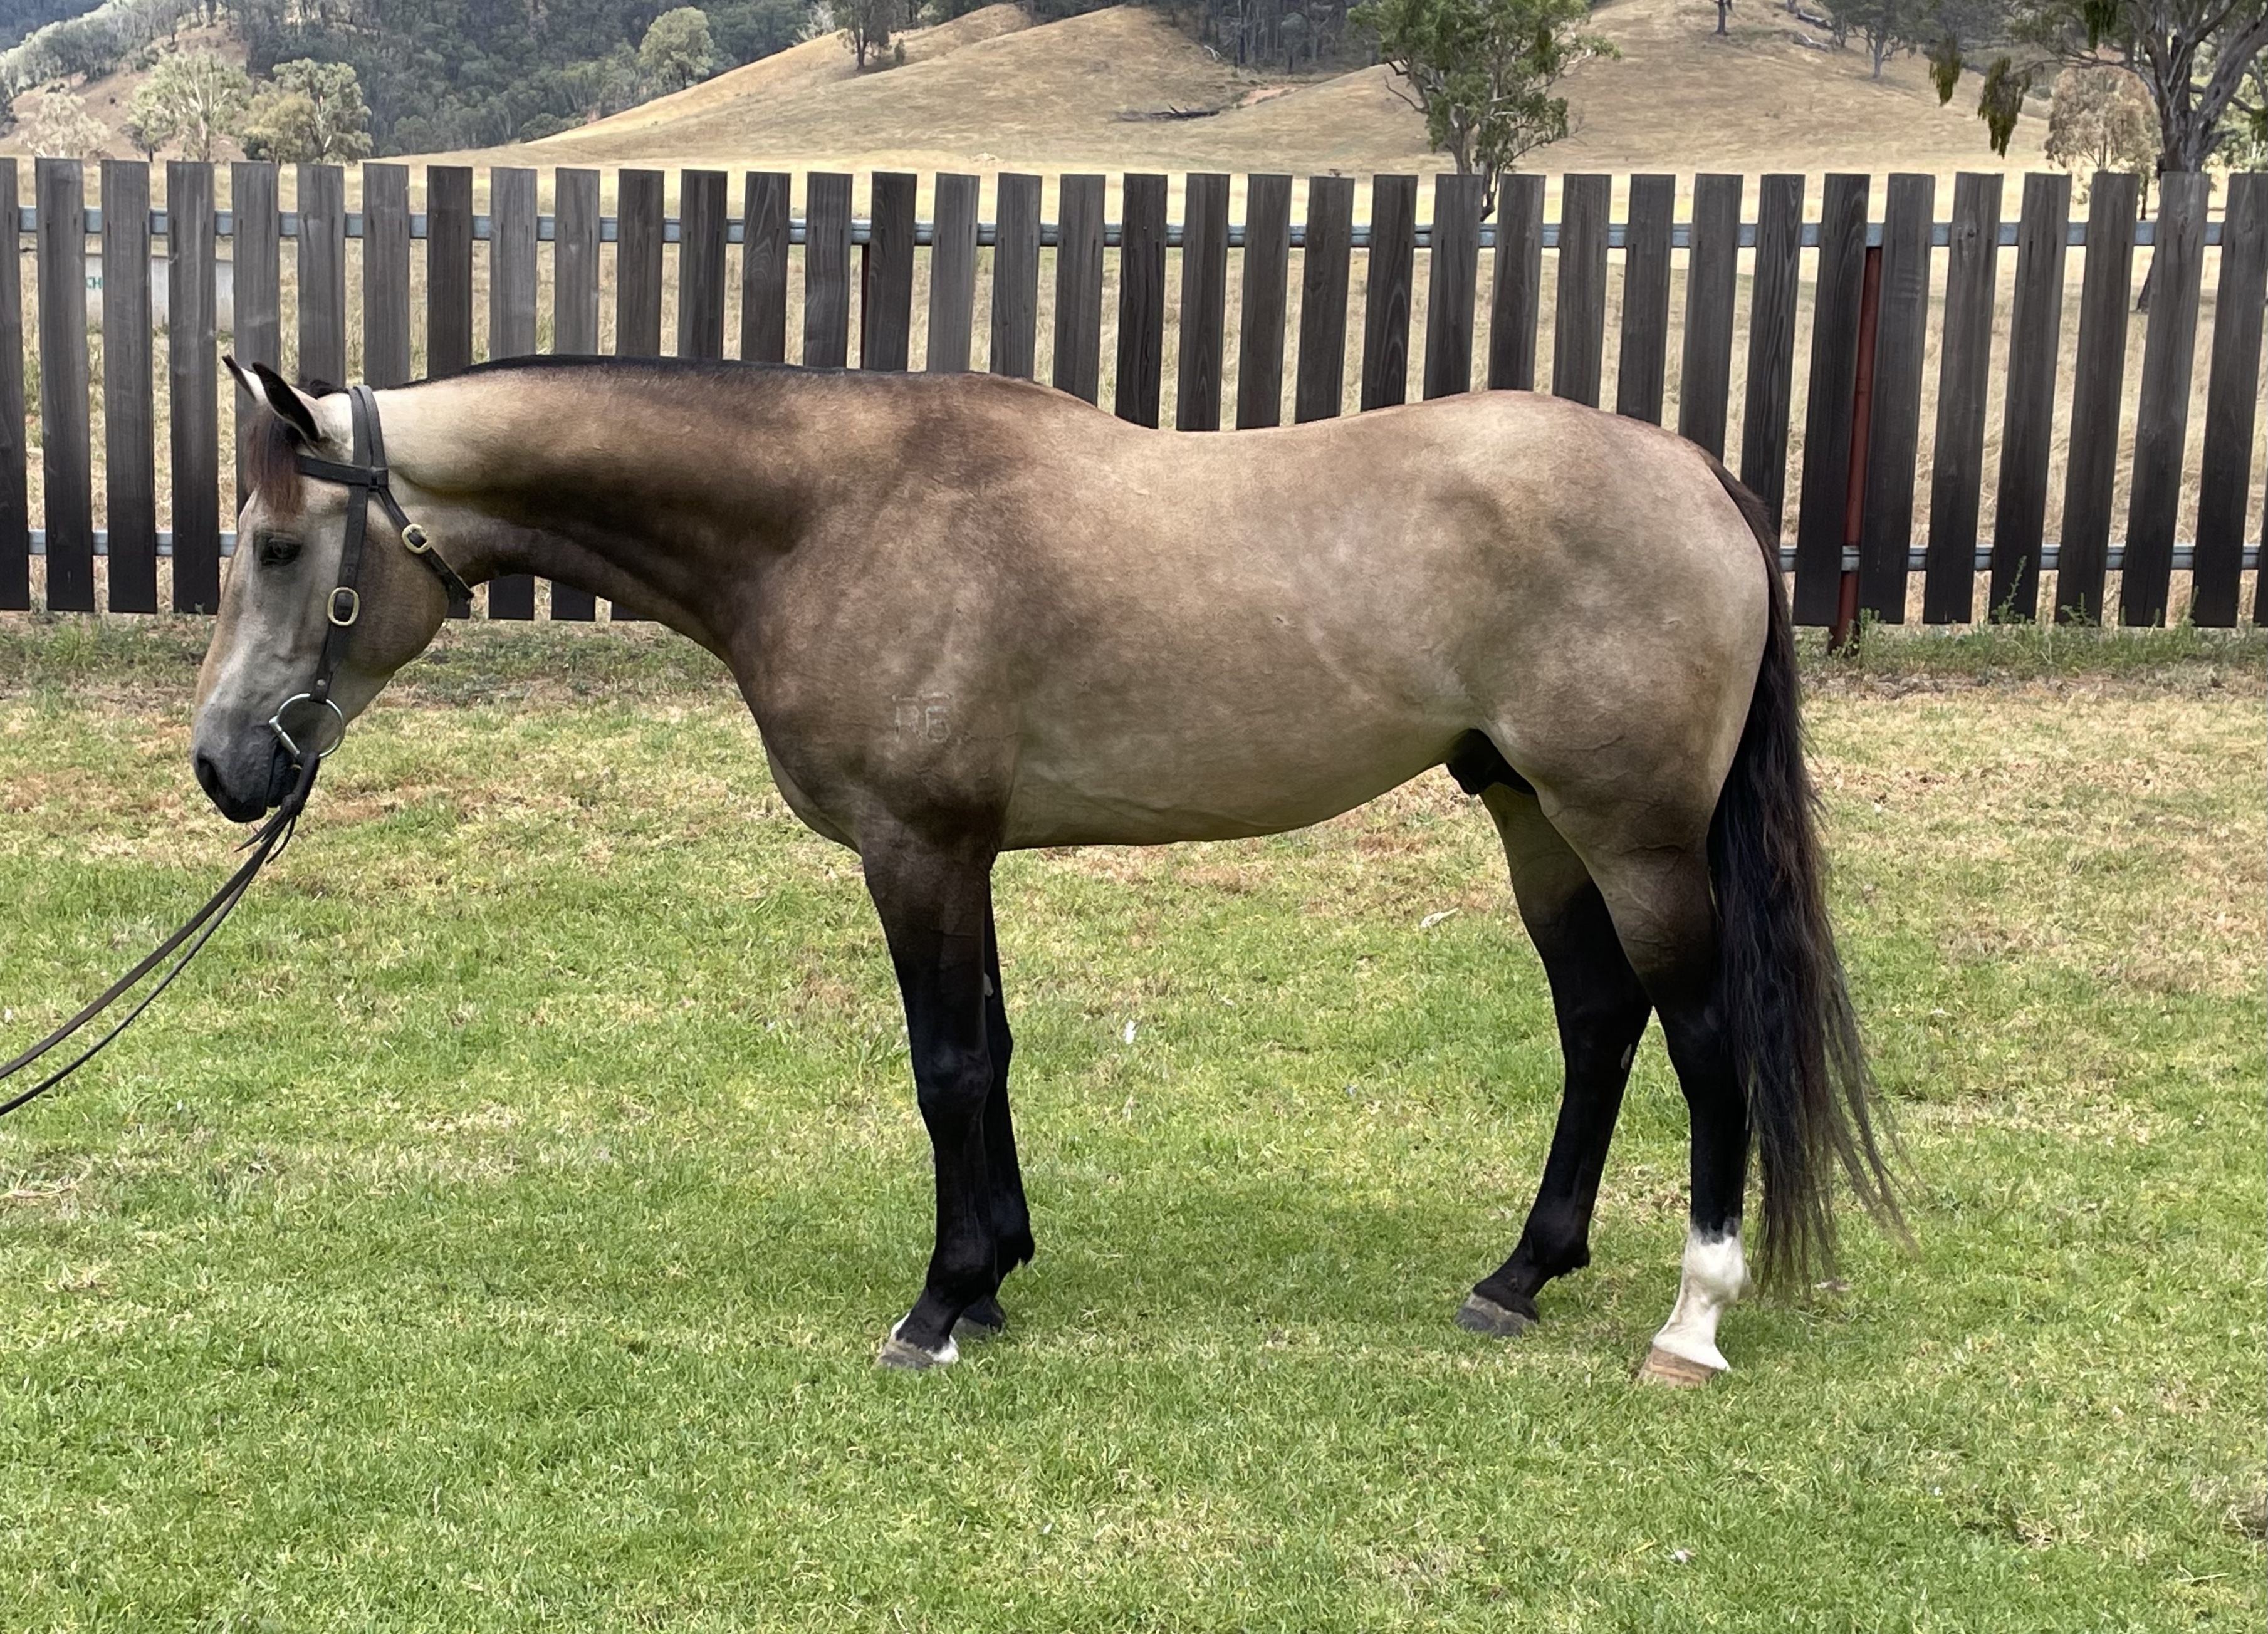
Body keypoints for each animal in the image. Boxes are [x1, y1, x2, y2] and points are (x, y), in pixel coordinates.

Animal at [194, 353, 1897, 1382]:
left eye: (278, 551)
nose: (223, 766)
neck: (832, 517)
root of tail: (1693, 469)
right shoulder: (965, 850)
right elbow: (993, 1052)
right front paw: (1001, 1268)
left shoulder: (917, 846)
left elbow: (945, 1061)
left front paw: (942, 1301)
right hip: (1530, 814)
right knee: (1598, 1023)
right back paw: (1520, 1273)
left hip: (1631, 833)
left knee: (1704, 1035)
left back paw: (1692, 1313)